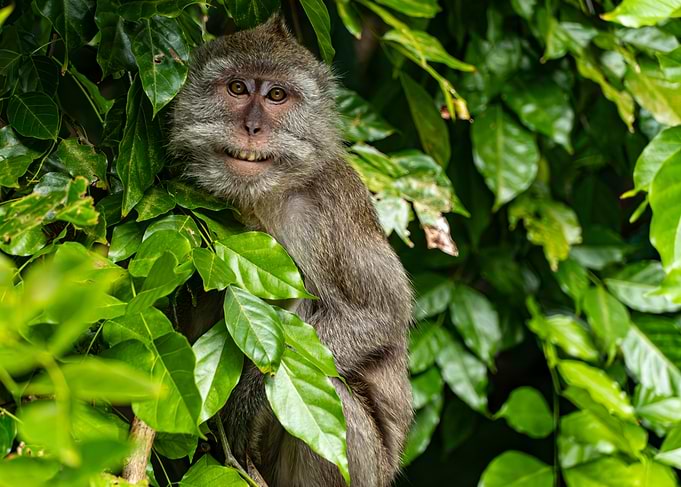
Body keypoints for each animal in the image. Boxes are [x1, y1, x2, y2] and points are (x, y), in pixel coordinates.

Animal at [169, 15, 413, 487]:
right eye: (238, 88)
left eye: (277, 96)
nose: (252, 127)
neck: (264, 196)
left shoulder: (328, 211)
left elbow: (380, 313)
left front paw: (245, 400)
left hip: (361, 461)